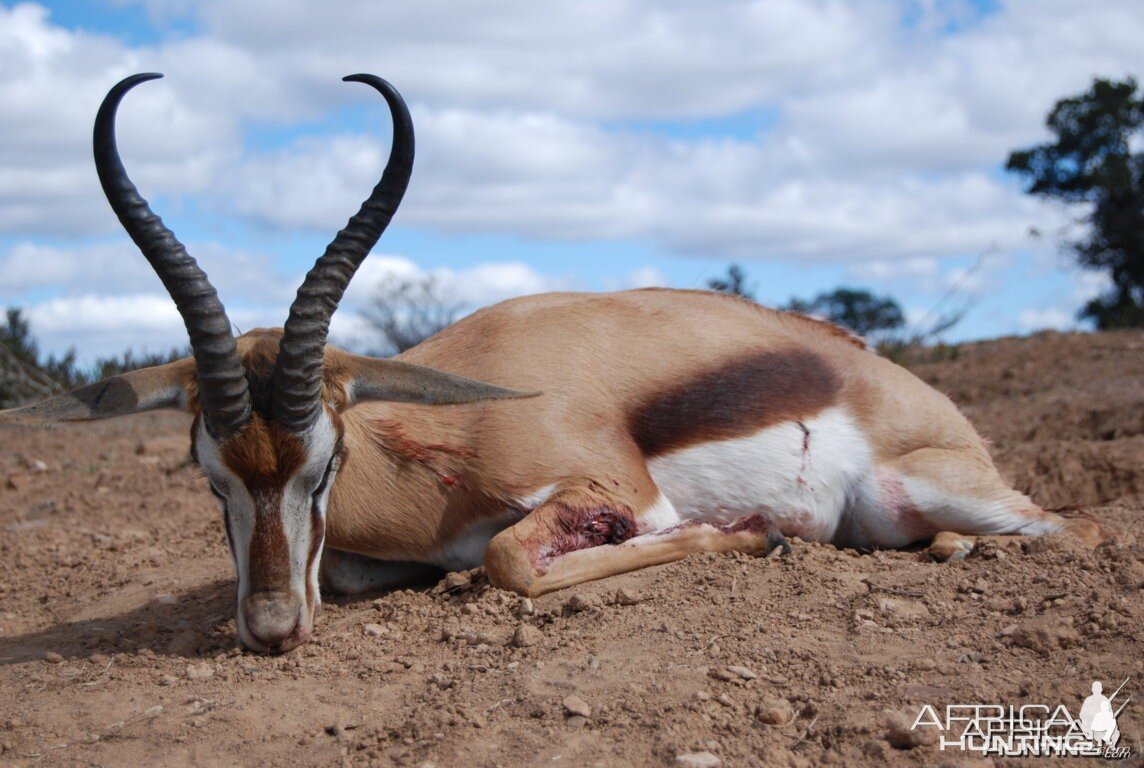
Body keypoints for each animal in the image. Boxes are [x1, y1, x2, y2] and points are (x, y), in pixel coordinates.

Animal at [2, 74, 1107, 654]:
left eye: (325, 463)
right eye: (207, 474)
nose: (271, 629)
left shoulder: (616, 494)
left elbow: (505, 562)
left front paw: (753, 534)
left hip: (934, 491)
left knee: (1078, 529)